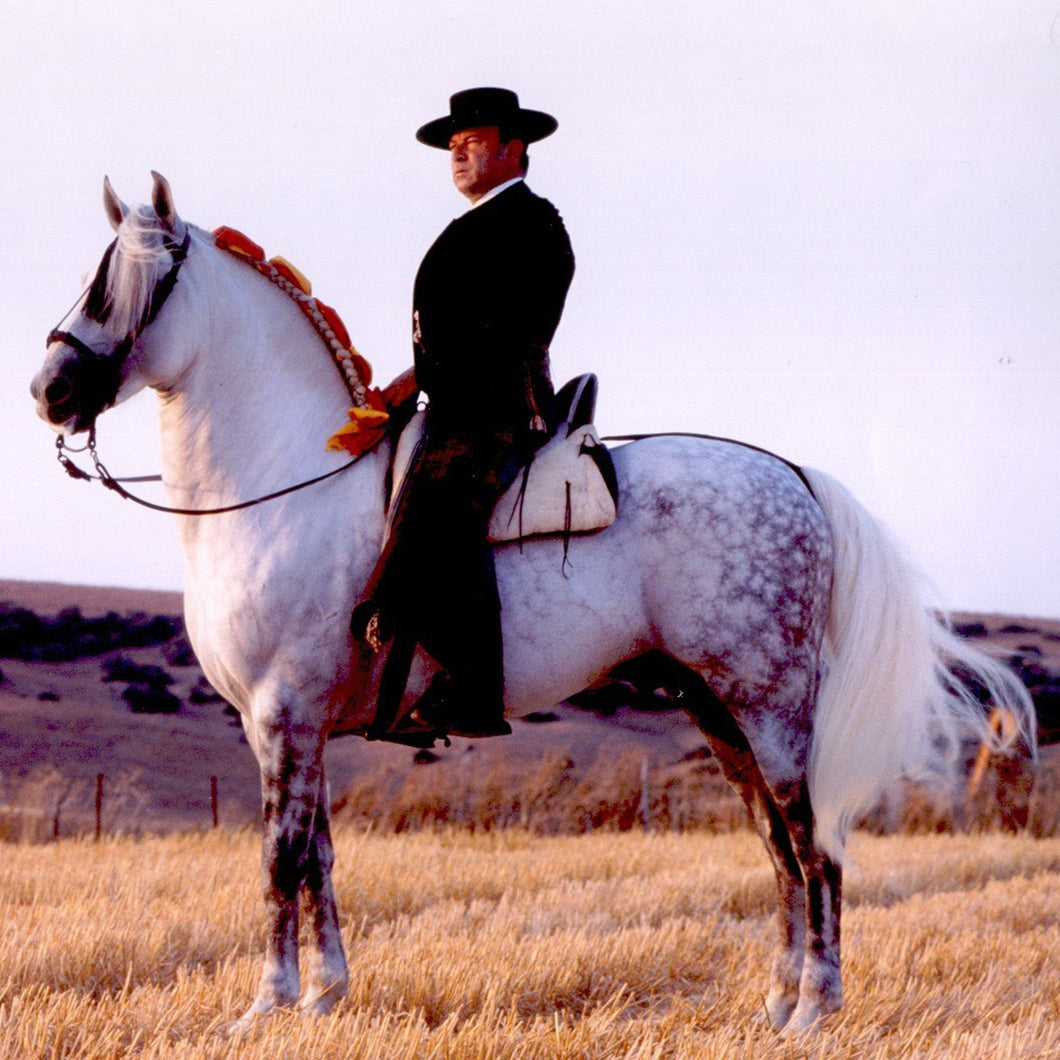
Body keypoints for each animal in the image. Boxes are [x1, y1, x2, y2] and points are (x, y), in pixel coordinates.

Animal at [29, 175, 1030, 1034]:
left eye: (120, 286)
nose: (50, 391)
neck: (284, 481)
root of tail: (795, 476)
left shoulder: (285, 711)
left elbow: (279, 858)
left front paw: (265, 1007)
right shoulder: (290, 724)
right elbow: (316, 855)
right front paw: (324, 999)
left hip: (770, 706)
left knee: (811, 840)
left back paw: (818, 1007)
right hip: (718, 712)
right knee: (777, 847)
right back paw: (777, 1008)